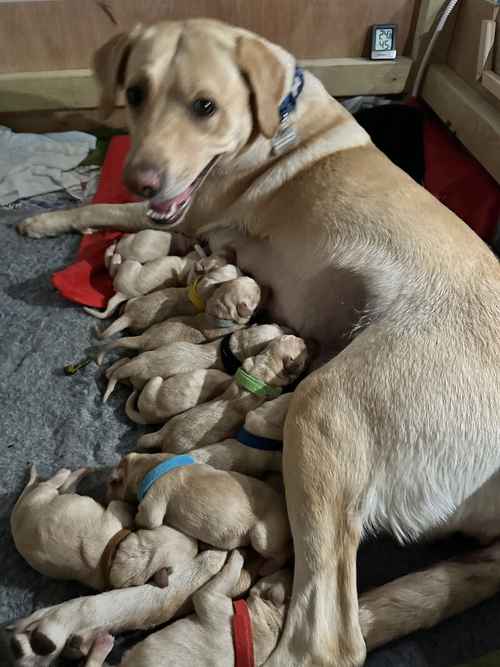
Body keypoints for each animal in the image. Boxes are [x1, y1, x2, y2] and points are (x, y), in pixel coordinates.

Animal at [10, 464, 197, 588]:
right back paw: (68, 472)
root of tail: (16, 512)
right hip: (42, 493)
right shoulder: (115, 509)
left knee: (66, 488)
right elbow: (125, 509)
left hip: (57, 497)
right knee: (53, 481)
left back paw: (81, 472)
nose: (196, 545)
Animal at [107, 452, 292, 568]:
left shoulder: (153, 503)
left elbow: (143, 518)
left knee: (282, 555)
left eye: (111, 485)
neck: (149, 465)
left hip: (261, 536)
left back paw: (265, 568)